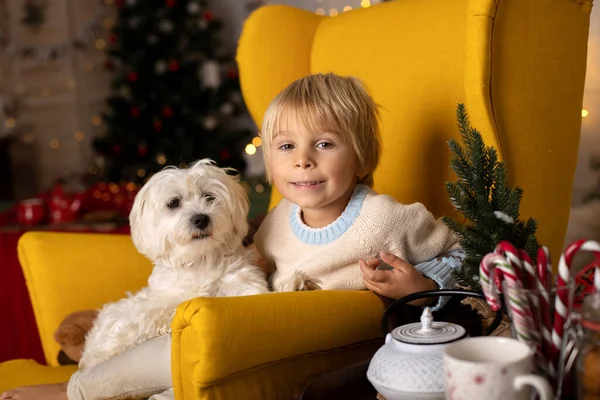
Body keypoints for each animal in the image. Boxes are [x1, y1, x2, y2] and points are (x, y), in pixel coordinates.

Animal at [78, 159, 270, 368]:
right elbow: (159, 311)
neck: (200, 261)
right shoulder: (157, 303)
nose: (201, 218)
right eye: (173, 203)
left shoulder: (244, 283)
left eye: (209, 197)